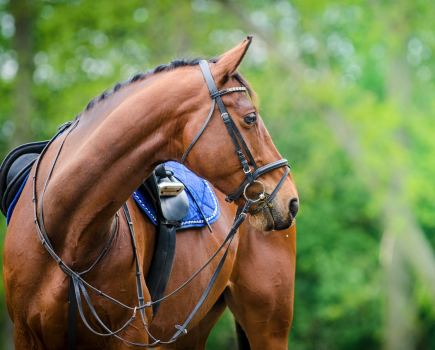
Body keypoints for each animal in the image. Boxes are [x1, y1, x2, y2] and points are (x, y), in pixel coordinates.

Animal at [3, 37, 298, 348]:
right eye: (251, 118)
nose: (291, 200)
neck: (69, 237)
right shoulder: (26, 334)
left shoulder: (130, 332)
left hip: (268, 328)